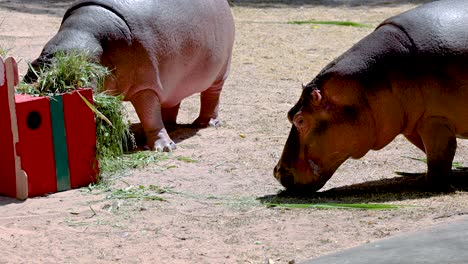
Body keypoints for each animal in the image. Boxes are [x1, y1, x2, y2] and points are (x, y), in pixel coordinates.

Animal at [24, 0, 236, 152]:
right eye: (40, 59)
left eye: (82, 70)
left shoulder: (146, 86)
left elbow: (149, 115)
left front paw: (164, 148)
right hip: (172, 79)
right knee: (170, 101)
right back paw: (167, 126)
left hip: (220, 72)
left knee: (211, 97)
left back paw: (205, 123)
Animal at [272, 0, 468, 191]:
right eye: (289, 114)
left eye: (300, 120)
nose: (277, 172)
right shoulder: (413, 124)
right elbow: (429, 152)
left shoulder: (434, 120)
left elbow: (439, 157)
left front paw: (431, 184)